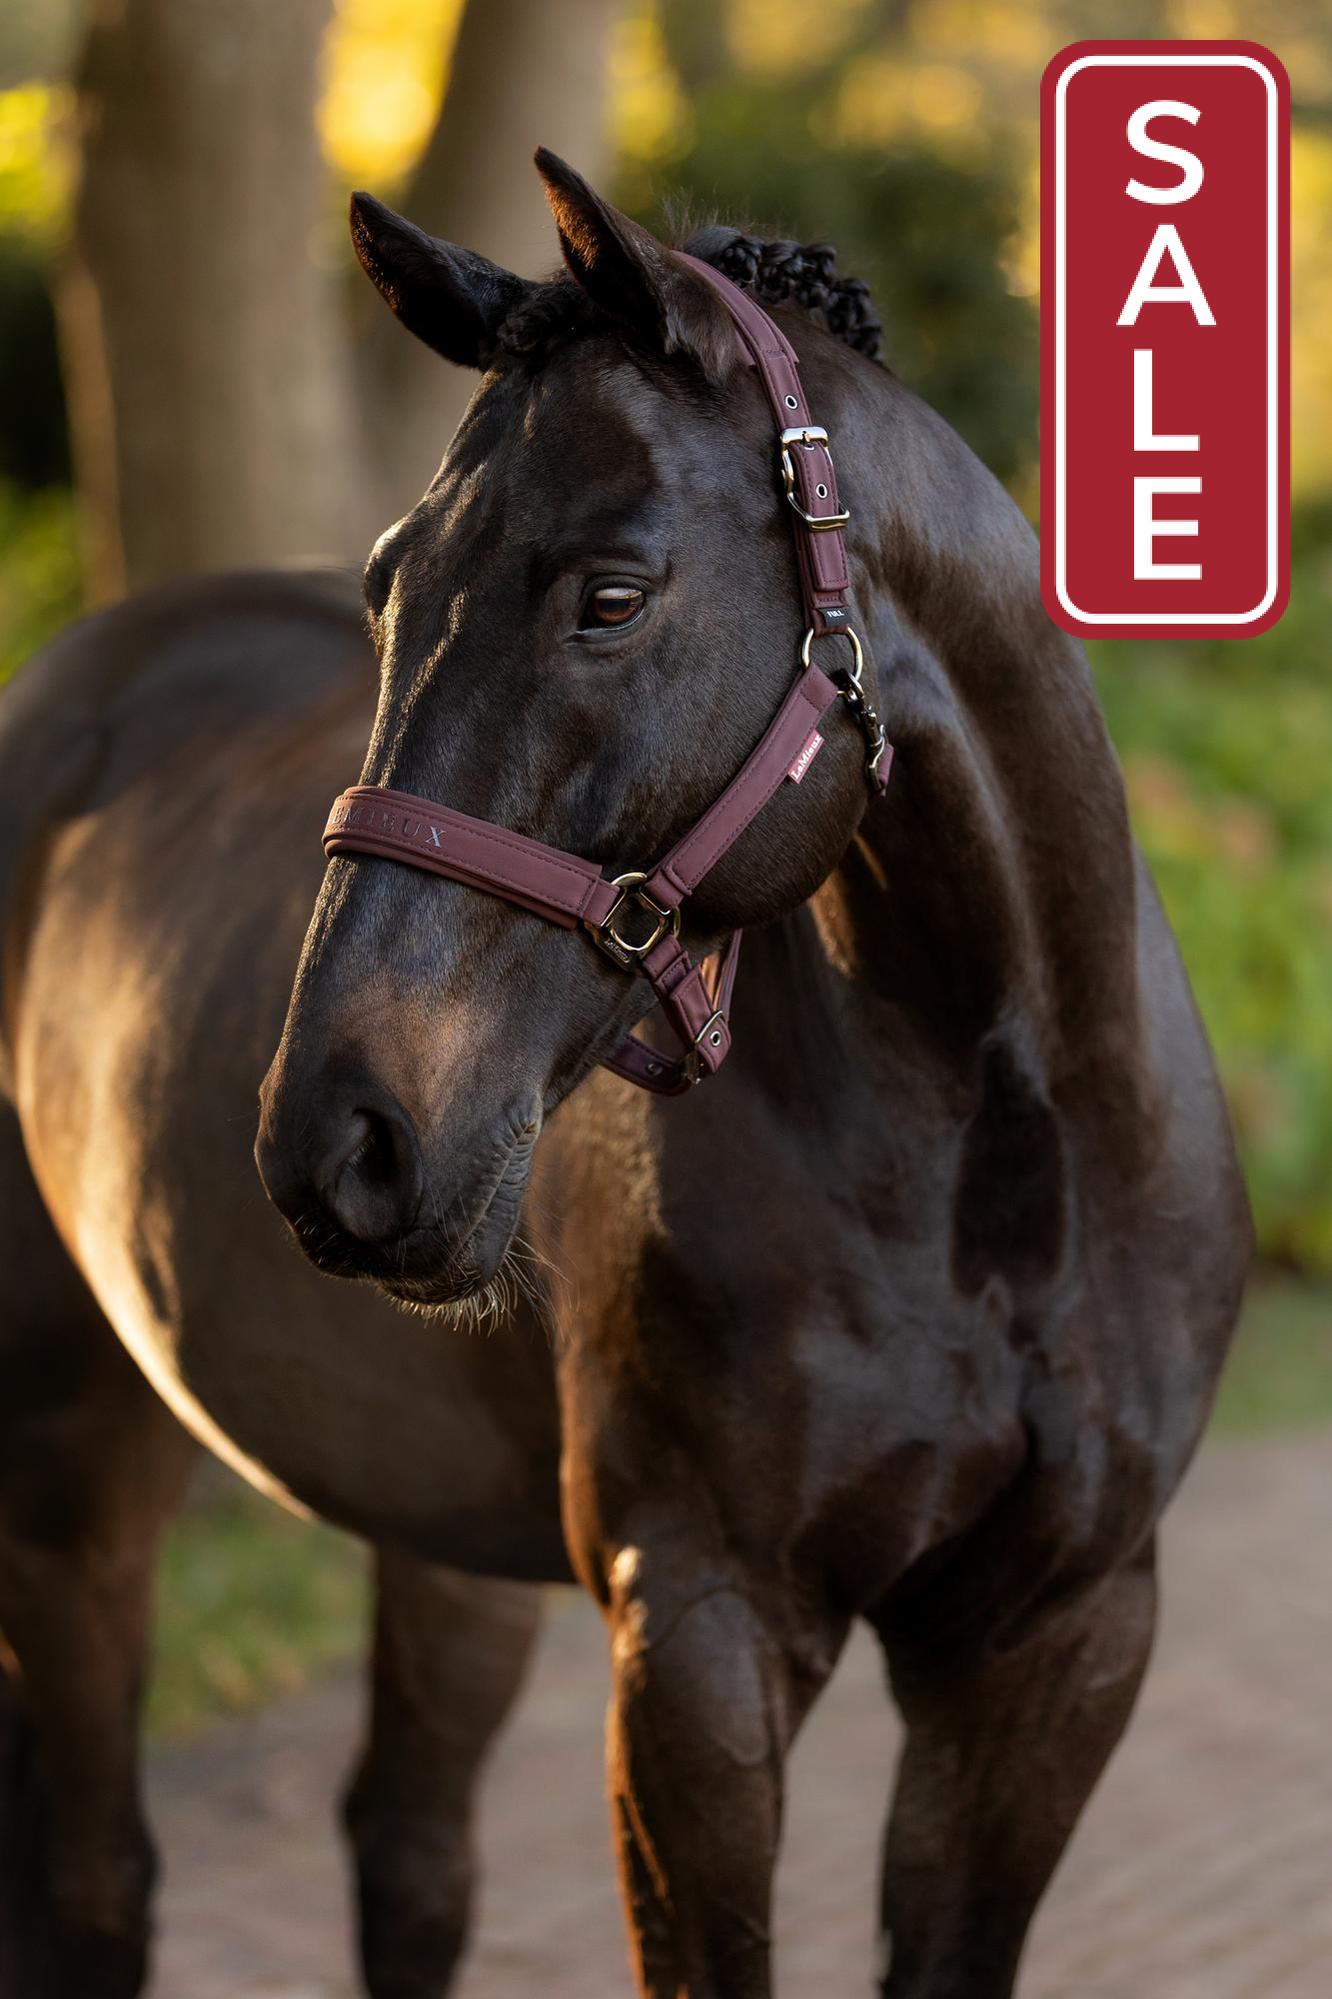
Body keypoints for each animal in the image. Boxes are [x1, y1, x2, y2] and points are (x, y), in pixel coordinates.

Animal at [0, 141, 1247, 1997]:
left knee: (406, 1852)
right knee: (95, 1877)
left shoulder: (1059, 1638)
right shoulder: (701, 1637)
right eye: (384, 592)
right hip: (71, 1467)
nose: (338, 1133)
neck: (1002, 1150)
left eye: (610, 594)